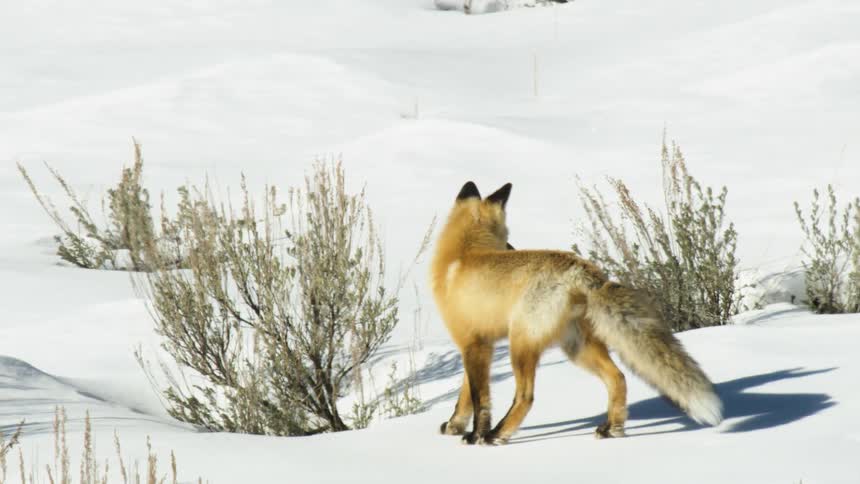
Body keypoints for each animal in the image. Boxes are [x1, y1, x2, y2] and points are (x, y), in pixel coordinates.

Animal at [430, 181, 723, 445]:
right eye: (507, 237)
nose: (513, 248)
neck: (461, 255)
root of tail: (581, 267)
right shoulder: (479, 345)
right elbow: (465, 397)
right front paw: (455, 425)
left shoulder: (473, 343)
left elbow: (479, 399)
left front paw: (475, 435)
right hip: (577, 347)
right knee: (618, 378)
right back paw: (613, 428)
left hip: (522, 345)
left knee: (526, 397)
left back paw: (497, 435)